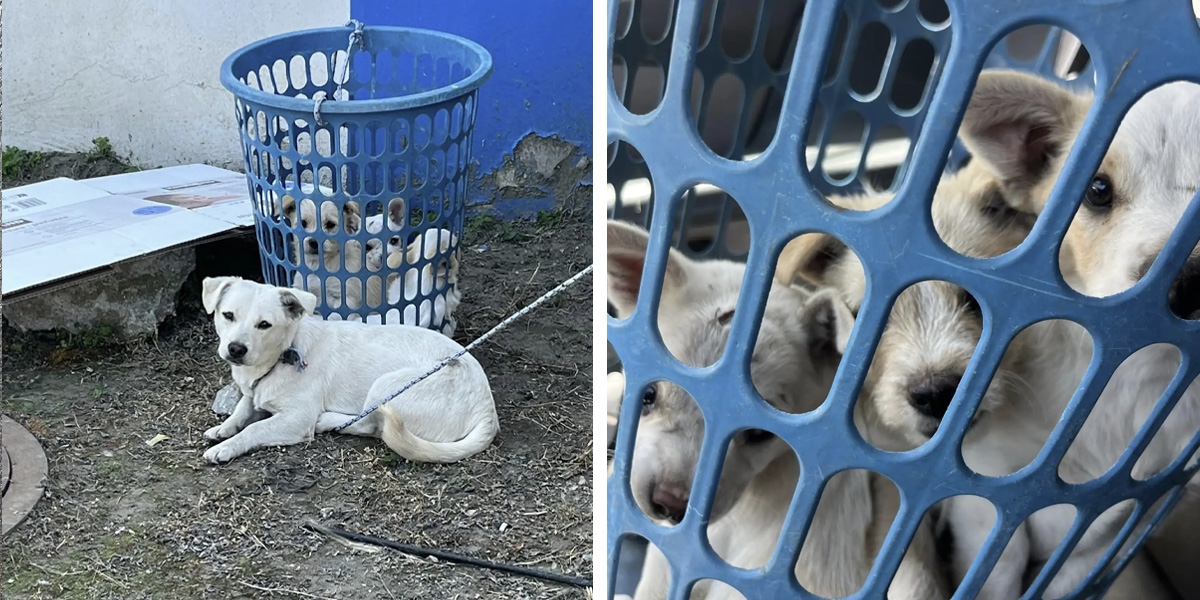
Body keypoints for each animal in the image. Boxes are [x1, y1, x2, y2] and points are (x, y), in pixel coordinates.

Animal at [200, 276, 496, 463]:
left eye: (264, 325)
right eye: (228, 315)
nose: (236, 349)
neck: (284, 353)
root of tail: (488, 410)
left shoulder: (296, 419)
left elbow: (255, 428)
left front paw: (227, 447)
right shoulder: (253, 394)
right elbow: (242, 409)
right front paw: (223, 428)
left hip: (385, 386)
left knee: (369, 426)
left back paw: (330, 421)